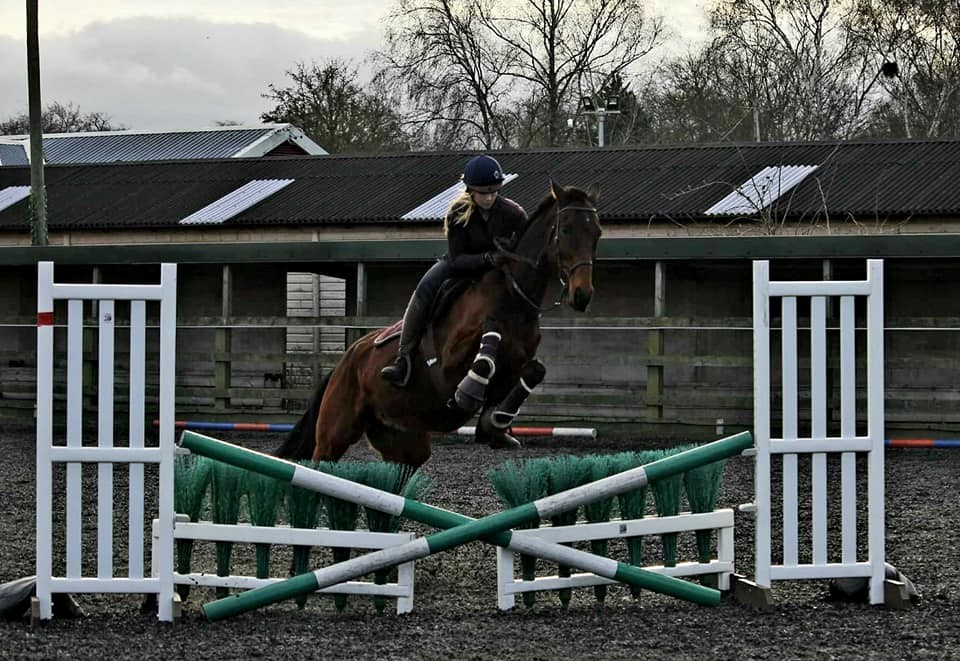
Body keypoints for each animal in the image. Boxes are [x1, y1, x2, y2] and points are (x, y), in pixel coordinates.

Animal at [278, 180, 604, 470]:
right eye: (566, 229)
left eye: (597, 233)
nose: (582, 295)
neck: (514, 298)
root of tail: (345, 362)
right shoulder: (450, 365)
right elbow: (486, 352)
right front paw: (470, 391)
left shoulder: (518, 364)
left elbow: (534, 371)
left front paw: (496, 425)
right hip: (334, 435)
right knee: (320, 464)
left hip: (405, 443)